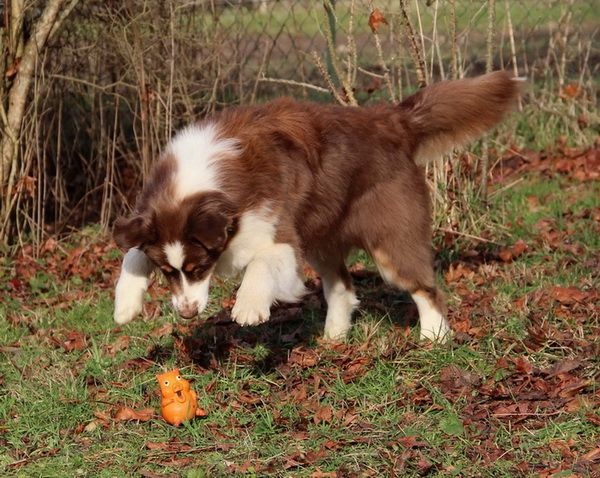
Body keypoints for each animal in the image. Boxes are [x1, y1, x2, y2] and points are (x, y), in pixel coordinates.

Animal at [112, 70, 520, 340]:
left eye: (198, 268)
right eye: (167, 272)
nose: (186, 314)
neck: (204, 181)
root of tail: (392, 119)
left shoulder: (280, 235)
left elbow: (261, 263)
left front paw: (248, 307)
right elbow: (133, 251)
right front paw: (125, 303)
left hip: (390, 239)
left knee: (424, 287)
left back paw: (434, 337)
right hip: (323, 235)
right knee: (342, 287)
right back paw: (334, 337)